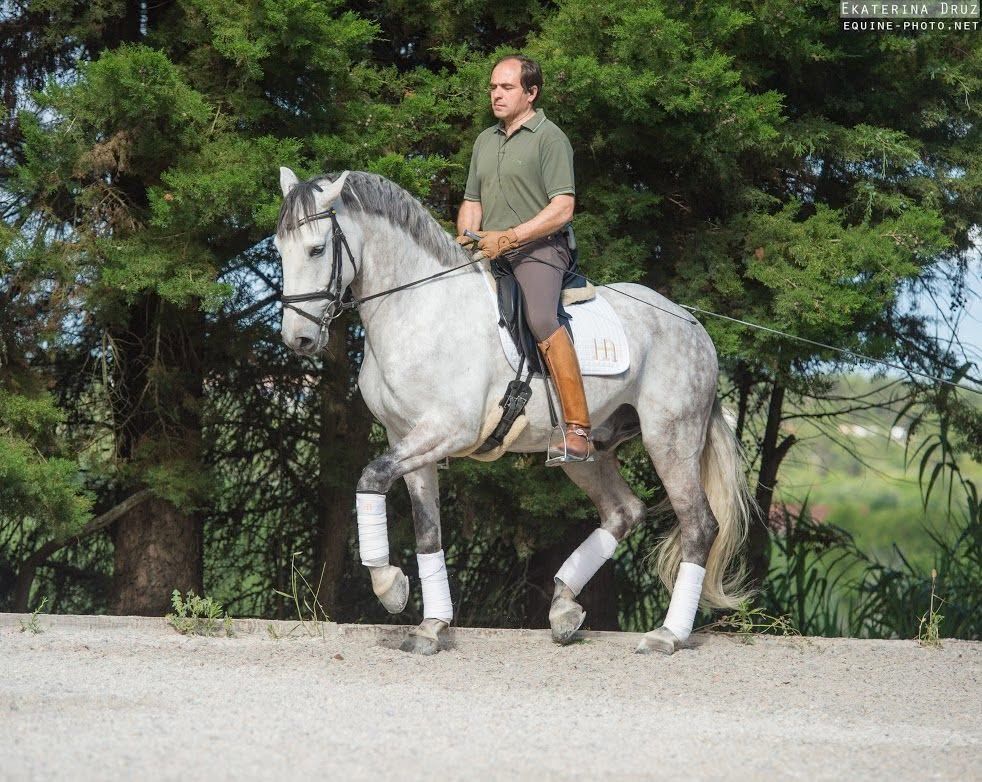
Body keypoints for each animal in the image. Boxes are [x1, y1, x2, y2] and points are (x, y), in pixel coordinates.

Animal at [274, 167, 753, 656]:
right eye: (278, 249)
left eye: (317, 249)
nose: (298, 339)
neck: (417, 311)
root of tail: (693, 326)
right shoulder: (405, 438)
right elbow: (427, 530)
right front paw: (431, 626)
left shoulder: (448, 429)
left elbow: (370, 477)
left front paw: (390, 587)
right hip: (586, 451)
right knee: (624, 511)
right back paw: (564, 608)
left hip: (669, 439)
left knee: (699, 525)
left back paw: (666, 635)